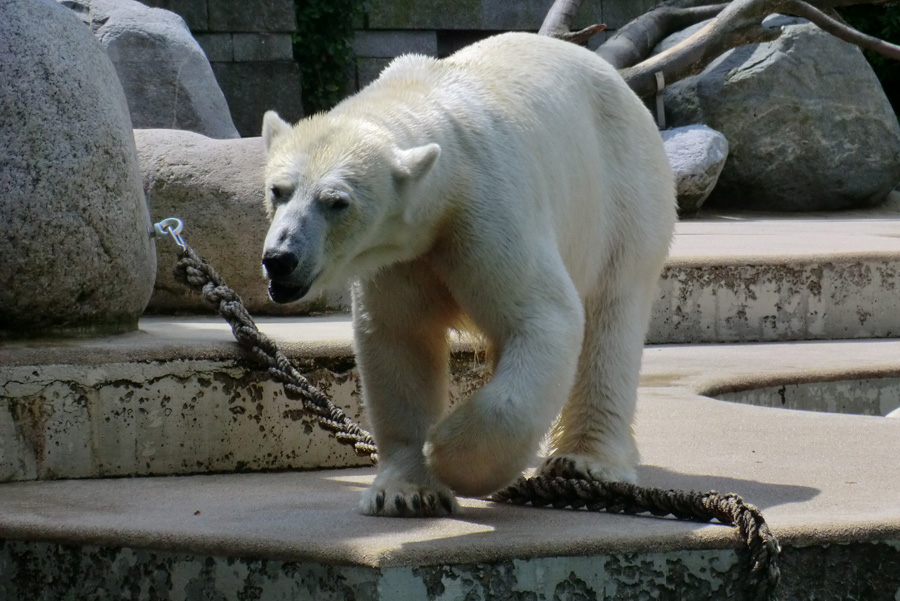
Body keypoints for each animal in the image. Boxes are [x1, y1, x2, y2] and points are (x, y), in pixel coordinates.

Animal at [260, 31, 676, 516]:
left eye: (336, 201)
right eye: (277, 190)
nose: (280, 257)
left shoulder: (488, 210)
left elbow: (542, 316)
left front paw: (446, 453)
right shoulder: (400, 259)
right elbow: (400, 339)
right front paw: (405, 492)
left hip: (622, 193)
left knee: (612, 314)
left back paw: (585, 462)